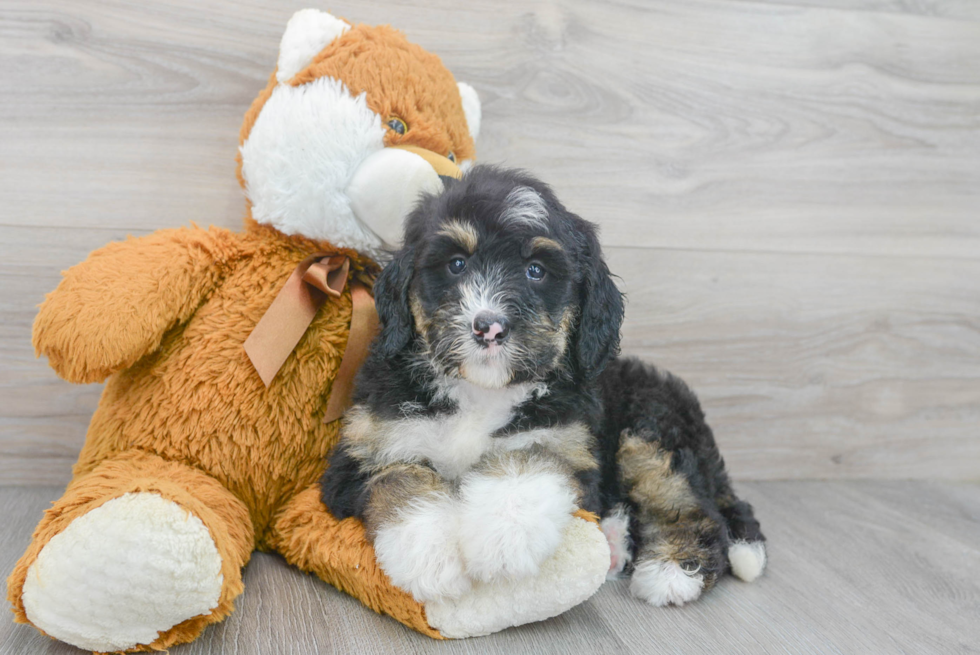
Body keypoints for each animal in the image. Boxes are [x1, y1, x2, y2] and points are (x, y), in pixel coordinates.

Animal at [322, 167, 764, 608]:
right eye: (456, 264)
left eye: (536, 270)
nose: (489, 326)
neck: (481, 391)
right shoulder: (364, 449)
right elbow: (398, 477)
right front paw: (433, 557)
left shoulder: (567, 438)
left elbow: (530, 458)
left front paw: (503, 540)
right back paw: (617, 541)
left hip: (651, 430)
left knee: (689, 505)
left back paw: (674, 569)